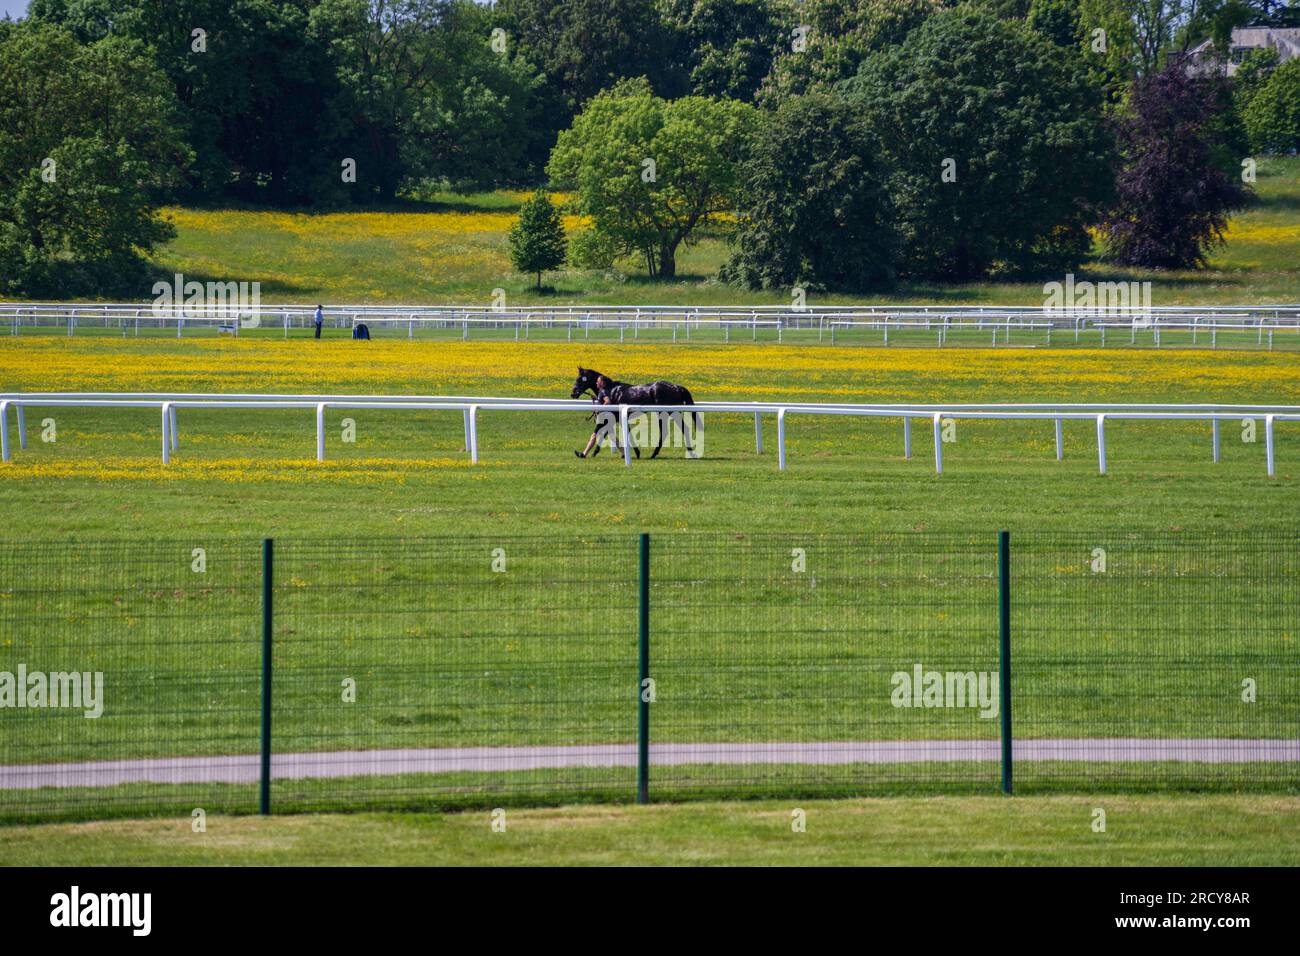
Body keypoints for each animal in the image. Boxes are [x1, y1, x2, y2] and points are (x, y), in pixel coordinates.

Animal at [572, 366, 702, 460]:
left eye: (579, 379)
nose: (573, 393)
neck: (610, 390)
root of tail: (677, 387)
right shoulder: (616, 417)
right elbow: (611, 432)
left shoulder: (613, 416)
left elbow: (601, 431)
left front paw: (588, 452)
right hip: (671, 413)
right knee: (682, 429)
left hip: (665, 413)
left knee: (668, 431)